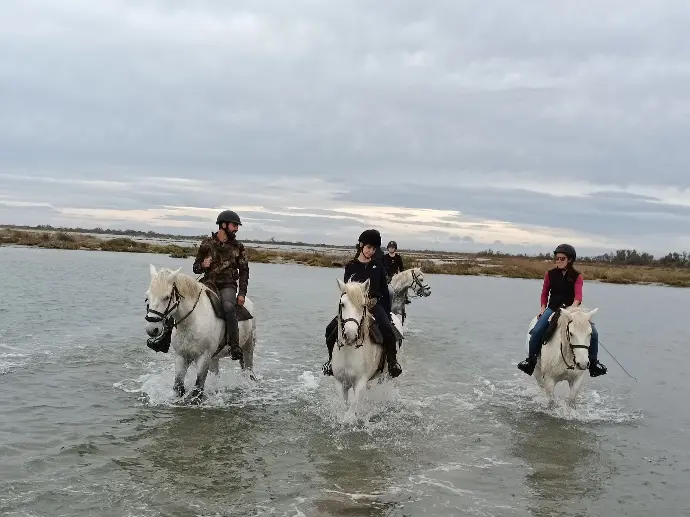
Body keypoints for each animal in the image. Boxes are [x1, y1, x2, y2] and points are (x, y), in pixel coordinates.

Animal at [144, 264, 255, 402]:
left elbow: (197, 390)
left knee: (249, 372)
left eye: (167, 297)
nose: (151, 329)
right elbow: (178, 387)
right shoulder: (181, 357)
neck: (192, 322)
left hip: (248, 348)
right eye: (148, 296)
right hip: (214, 358)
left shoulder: (204, 358)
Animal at [330, 278, 400, 412]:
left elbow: (350, 412)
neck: (349, 351)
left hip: (385, 376)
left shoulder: (360, 384)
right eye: (342, 304)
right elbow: (343, 407)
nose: (351, 334)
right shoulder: (340, 383)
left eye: (363, 305)